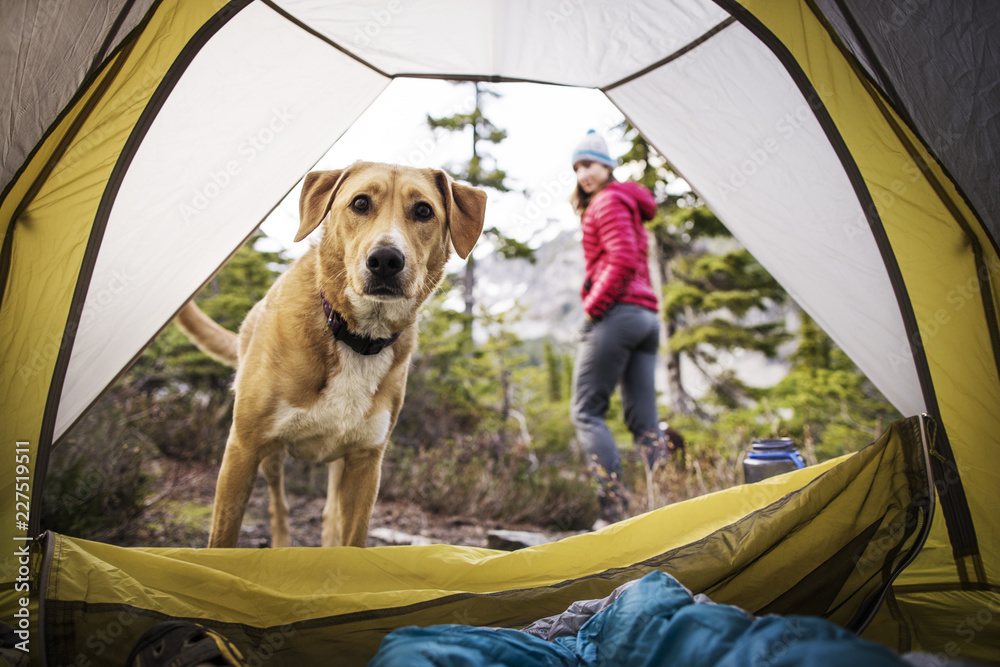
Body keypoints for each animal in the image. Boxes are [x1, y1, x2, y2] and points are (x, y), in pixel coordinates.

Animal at [176, 163, 488, 548]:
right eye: (360, 203)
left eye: (423, 211)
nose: (386, 260)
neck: (355, 337)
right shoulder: (243, 448)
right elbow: (223, 535)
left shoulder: (365, 463)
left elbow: (352, 536)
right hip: (269, 457)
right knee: (279, 505)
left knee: (329, 515)